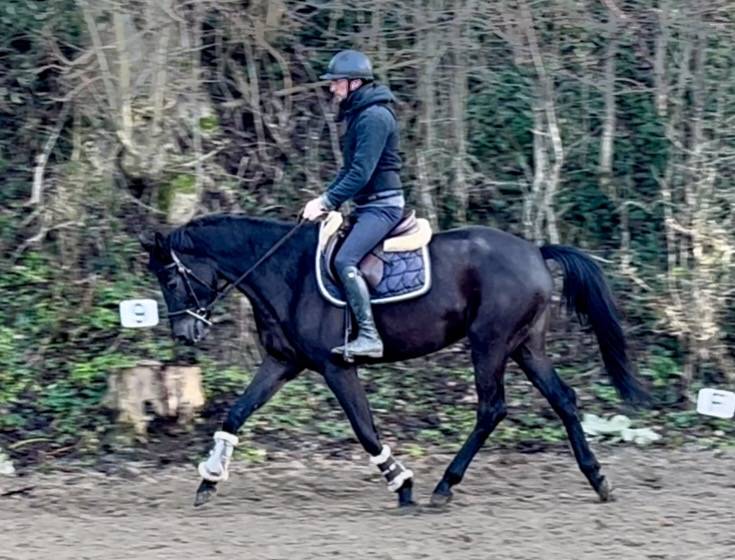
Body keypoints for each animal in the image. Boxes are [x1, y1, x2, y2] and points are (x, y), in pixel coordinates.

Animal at [139, 212, 649, 508]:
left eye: (171, 277)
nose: (184, 333)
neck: (287, 271)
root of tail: (536, 251)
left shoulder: (336, 367)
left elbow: (365, 429)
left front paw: (401, 482)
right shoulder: (284, 362)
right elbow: (238, 412)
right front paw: (209, 479)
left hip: (490, 342)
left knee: (492, 408)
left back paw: (445, 485)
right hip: (525, 345)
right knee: (563, 398)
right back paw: (598, 479)